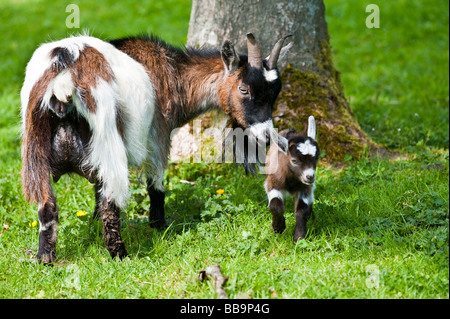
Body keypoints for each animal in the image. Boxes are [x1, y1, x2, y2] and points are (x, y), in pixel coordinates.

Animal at [21, 32, 294, 264]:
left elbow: (98, 193)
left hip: (35, 149)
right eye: (244, 89)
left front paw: (93, 225)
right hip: (108, 138)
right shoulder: (158, 136)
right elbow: (156, 186)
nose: (267, 136)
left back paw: (45, 258)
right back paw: (120, 255)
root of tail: (65, 73)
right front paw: (159, 225)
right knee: (111, 203)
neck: (173, 73)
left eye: (275, 93)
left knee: (47, 206)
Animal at [264, 116, 320, 244]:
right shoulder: (272, 183)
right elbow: (276, 206)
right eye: (294, 160)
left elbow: (301, 210)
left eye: (316, 158)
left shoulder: (305, 188)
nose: (310, 177)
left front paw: (299, 238)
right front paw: (277, 228)